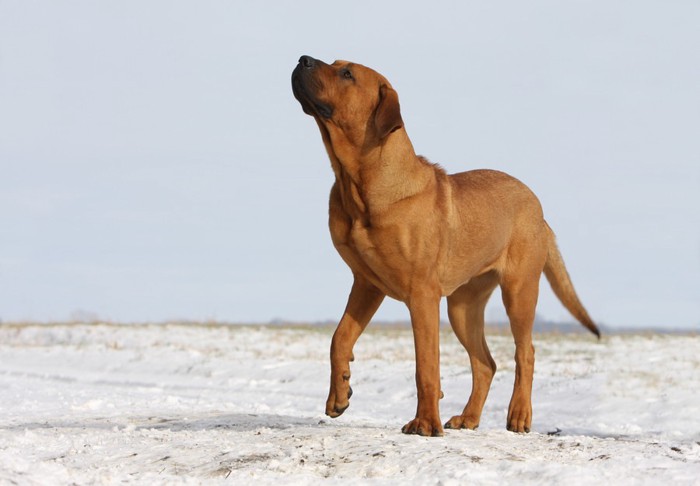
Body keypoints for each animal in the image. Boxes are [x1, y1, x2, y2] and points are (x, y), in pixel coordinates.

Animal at [292, 56, 600, 436]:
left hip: (519, 290)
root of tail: (540, 210)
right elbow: (339, 338)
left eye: (347, 73)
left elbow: (426, 364)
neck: (360, 184)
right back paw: (468, 418)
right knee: (485, 363)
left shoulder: (421, 294)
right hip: (463, 307)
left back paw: (519, 415)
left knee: (524, 352)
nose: (302, 59)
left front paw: (425, 423)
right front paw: (339, 395)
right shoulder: (366, 284)